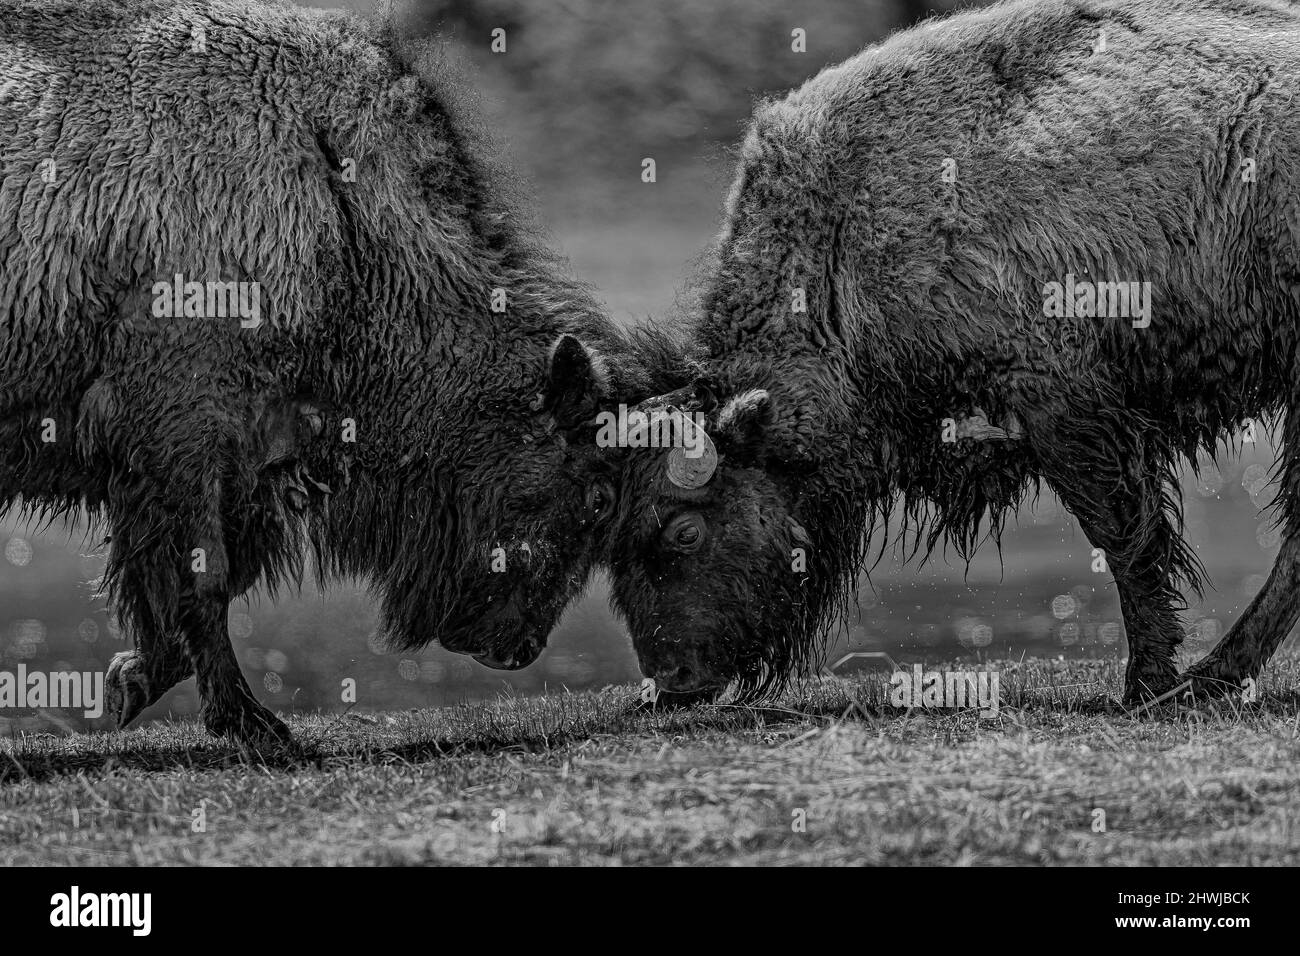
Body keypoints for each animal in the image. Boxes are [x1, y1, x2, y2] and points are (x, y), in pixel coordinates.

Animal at [0, 0, 650, 749]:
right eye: (597, 497)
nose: (516, 649)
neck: (344, 214)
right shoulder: (186, 433)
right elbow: (205, 578)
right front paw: (253, 724)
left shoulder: (239, 462)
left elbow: (209, 578)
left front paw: (127, 680)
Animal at [603, 0, 1300, 707]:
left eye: (684, 530)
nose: (670, 682)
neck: (836, 254)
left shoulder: (1063, 408)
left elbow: (1128, 542)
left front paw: (1145, 683)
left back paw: (1210, 677)